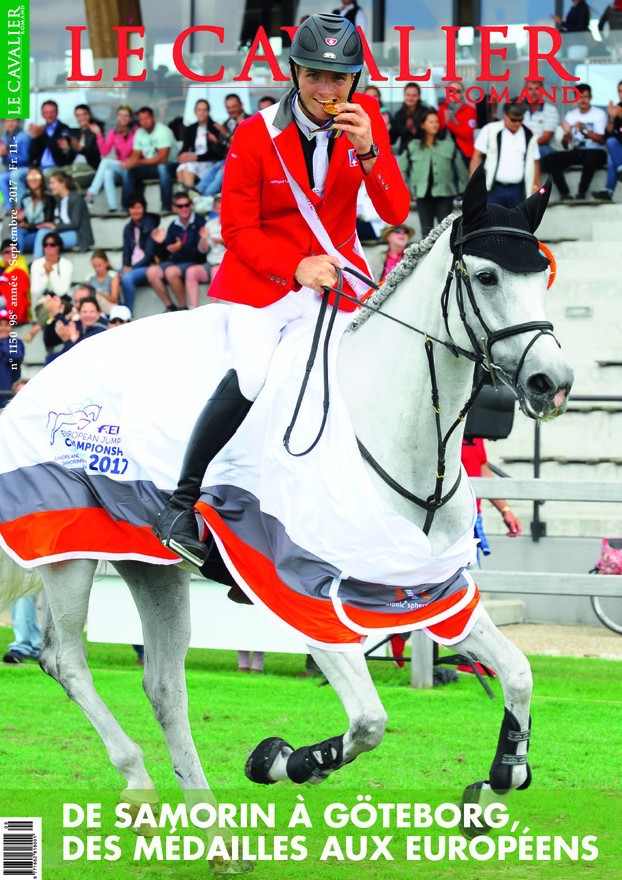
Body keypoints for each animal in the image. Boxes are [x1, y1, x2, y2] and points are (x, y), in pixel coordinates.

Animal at [0, 168, 576, 836]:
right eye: (486, 277)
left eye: (542, 275)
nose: (553, 384)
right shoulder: (308, 597)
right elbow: (368, 723)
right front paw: (279, 760)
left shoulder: (435, 590)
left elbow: (518, 673)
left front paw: (493, 786)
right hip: (67, 549)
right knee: (65, 660)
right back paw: (140, 784)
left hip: (150, 567)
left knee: (165, 685)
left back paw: (211, 824)